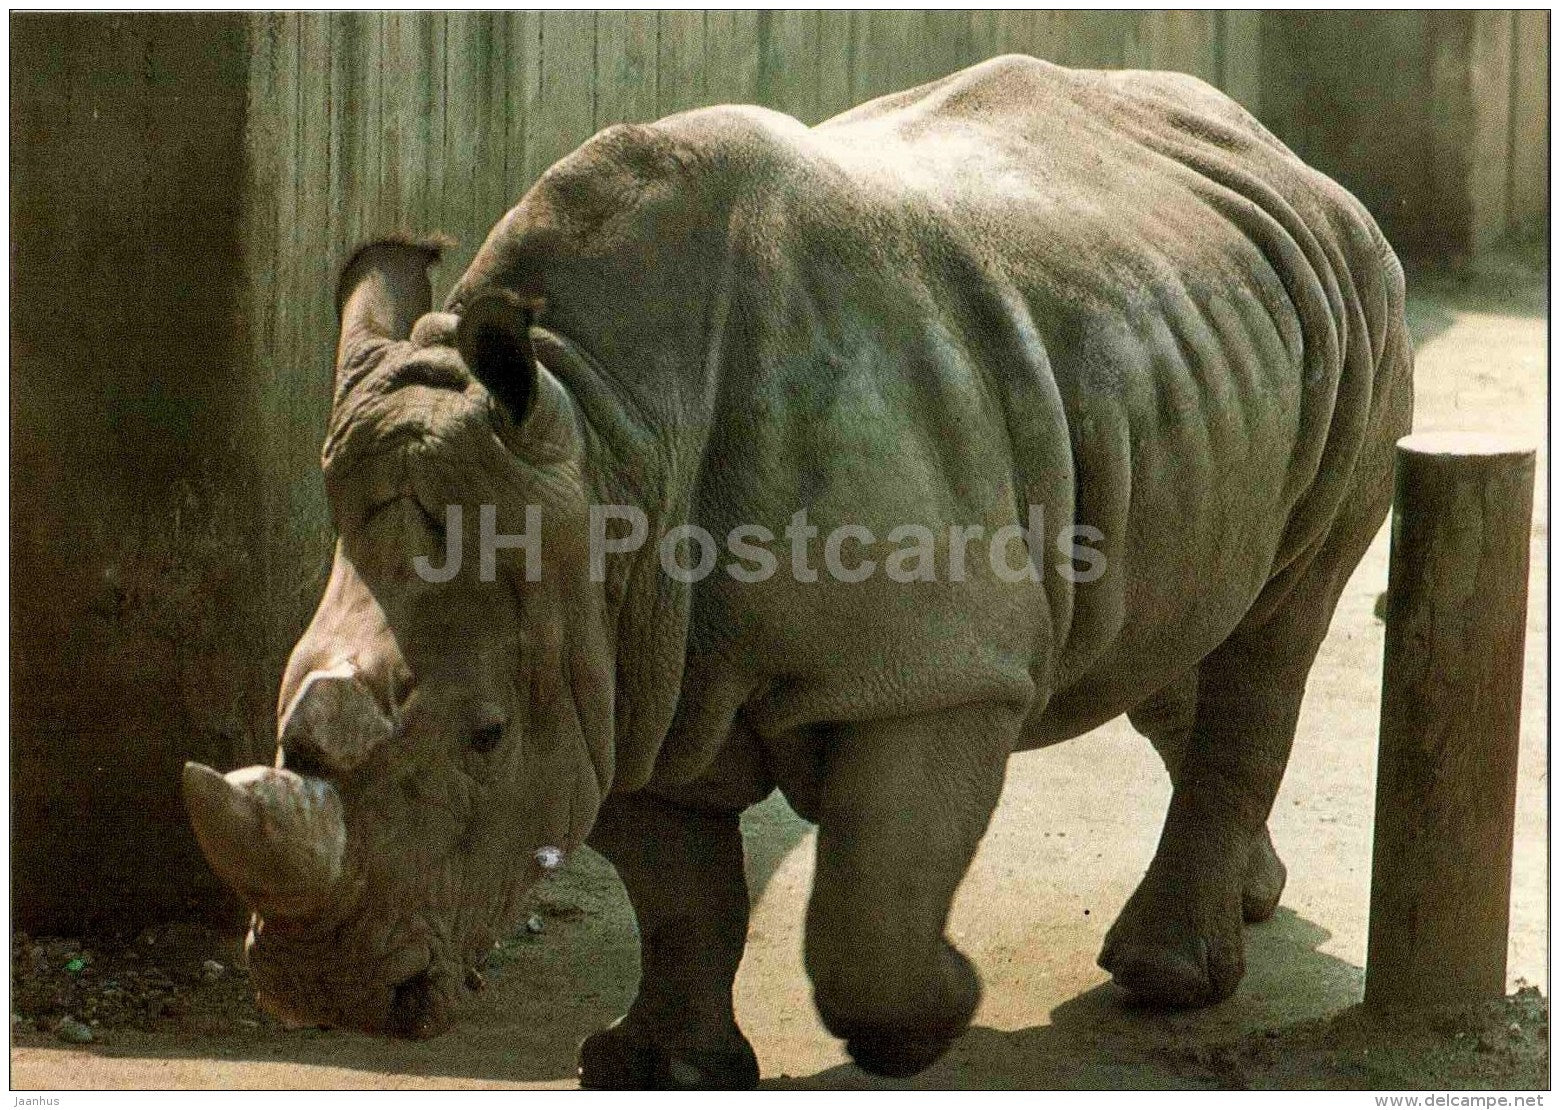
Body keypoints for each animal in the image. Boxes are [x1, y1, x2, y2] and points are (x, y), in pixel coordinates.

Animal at [184, 56, 1412, 1087]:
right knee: (1181, 623)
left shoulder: (931, 672)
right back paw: (1253, 899)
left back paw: (1163, 982)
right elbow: (682, 896)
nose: (321, 992)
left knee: (1278, 626)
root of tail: (1282, 152)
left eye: (485, 737)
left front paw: (930, 1022)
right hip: (1188, 335)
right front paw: (653, 1066)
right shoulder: (620, 670)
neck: (608, 443)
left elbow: (870, 905)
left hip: (1361, 301)